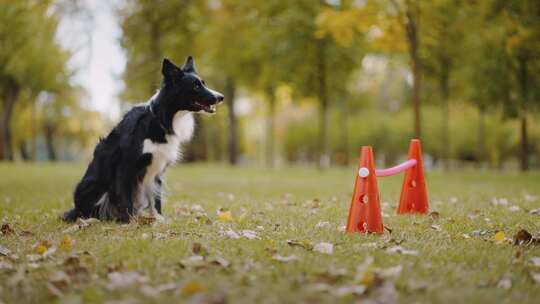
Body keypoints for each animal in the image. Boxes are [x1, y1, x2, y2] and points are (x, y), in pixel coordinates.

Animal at [62, 57, 223, 222]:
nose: (221, 97)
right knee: (87, 211)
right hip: (93, 186)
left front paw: (159, 220)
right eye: (196, 86)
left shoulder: (157, 168)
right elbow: (125, 198)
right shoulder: (125, 165)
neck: (161, 119)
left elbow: (156, 199)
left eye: (203, 83)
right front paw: (131, 222)